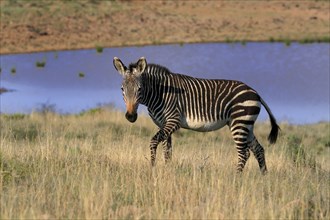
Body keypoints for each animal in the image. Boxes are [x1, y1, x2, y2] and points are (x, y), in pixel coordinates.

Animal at [113, 56, 278, 174]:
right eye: (122, 89)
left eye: (139, 89)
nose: (130, 116)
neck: (160, 93)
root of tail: (255, 92)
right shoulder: (163, 124)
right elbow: (168, 150)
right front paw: (167, 170)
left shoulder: (173, 120)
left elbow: (154, 142)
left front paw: (152, 167)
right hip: (245, 124)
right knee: (258, 150)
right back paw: (264, 177)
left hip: (240, 123)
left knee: (244, 153)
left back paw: (236, 178)